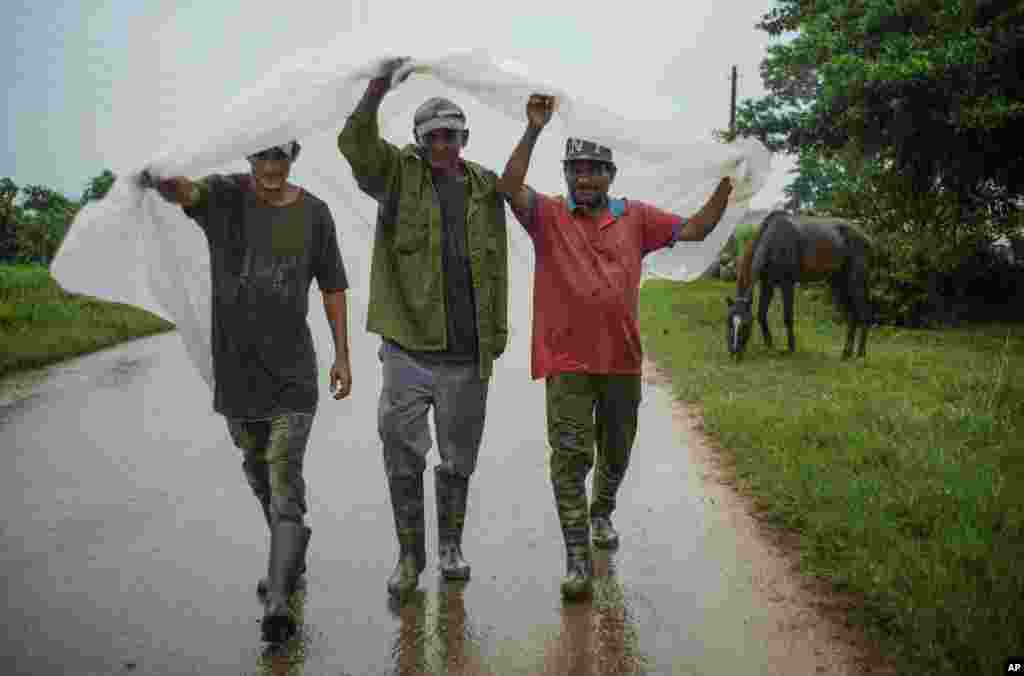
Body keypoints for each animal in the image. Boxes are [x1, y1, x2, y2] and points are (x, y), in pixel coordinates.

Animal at [724, 210, 876, 358]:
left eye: (745, 324)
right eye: (729, 322)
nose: (734, 352)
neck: (773, 239)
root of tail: (867, 237)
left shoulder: (787, 284)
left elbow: (788, 317)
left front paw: (790, 349)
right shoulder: (767, 284)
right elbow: (761, 314)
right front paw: (769, 345)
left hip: (855, 282)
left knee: (864, 313)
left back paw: (860, 354)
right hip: (839, 284)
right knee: (852, 315)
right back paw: (846, 353)